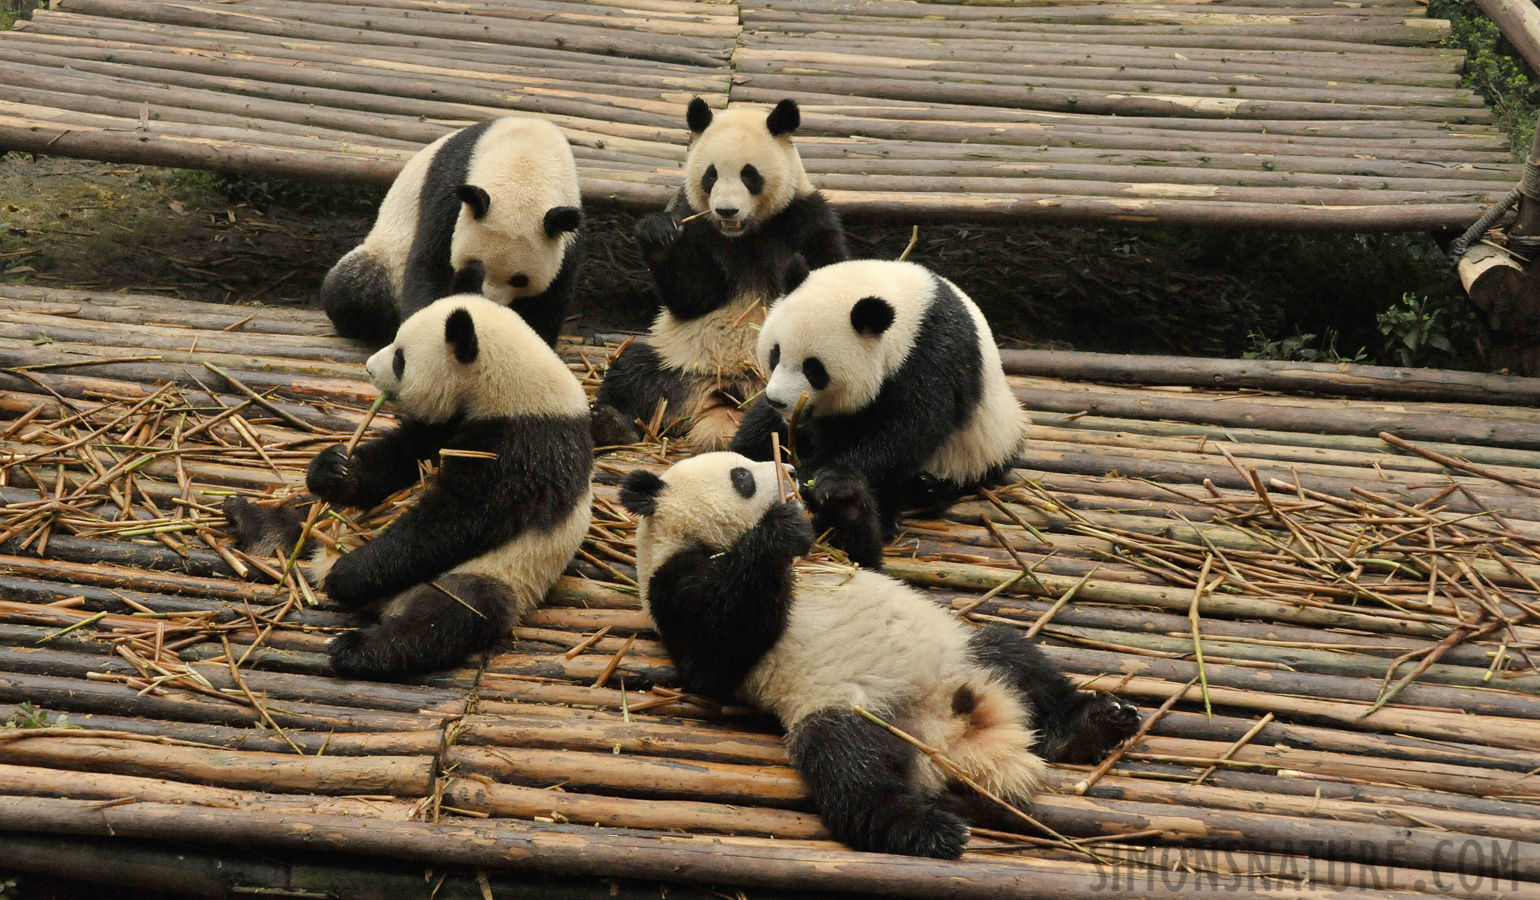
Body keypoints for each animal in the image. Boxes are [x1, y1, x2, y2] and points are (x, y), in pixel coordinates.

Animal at [224, 291, 591, 678]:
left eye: (400, 358)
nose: (369, 368)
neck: (510, 388)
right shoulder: (449, 424)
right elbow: (399, 458)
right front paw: (334, 469)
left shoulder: (524, 446)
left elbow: (457, 518)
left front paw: (348, 574)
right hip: (337, 523)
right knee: (309, 516)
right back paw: (253, 520)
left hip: (501, 572)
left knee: (449, 615)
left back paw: (357, 648)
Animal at [323, 117, 582, 348]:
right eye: (475, 264)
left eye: (520, 279)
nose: (486, 304)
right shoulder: (451, 189)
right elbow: (430, 263)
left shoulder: (566, 230)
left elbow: (551, 297)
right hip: (385, 258)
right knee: (359, 284)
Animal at [591, 97, 856, 453]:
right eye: (711, 174)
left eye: (749, 175)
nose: (726, 210)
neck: (743, 234)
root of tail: (720, 399)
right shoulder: (696, 222)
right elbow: (693, 296)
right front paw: (658, 234)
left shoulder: (804, 219)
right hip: (681, 362)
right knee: (634, 370)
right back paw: (612, 424)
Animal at [616, 453, 1145, 863]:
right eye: (742, 476)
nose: (793, 469)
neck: (696, 538)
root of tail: (954, 743)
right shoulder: (674, 587)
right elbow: (718, 649)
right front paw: (780, 530)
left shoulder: (840, 559)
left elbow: (862, 556)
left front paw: (836, 491)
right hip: (850, 711)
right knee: (851, 769)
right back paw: (931, 832)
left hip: (964, 652)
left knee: (1018, 658)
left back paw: (1096, 722)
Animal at [729, 260, 1028, 570]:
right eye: (776, 353)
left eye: (814, 369)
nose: (778, 401)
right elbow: (761, 426)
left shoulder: (931, 360)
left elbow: (907, 431)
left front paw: (827, 478)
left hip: (985, 439)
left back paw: (923, 489)